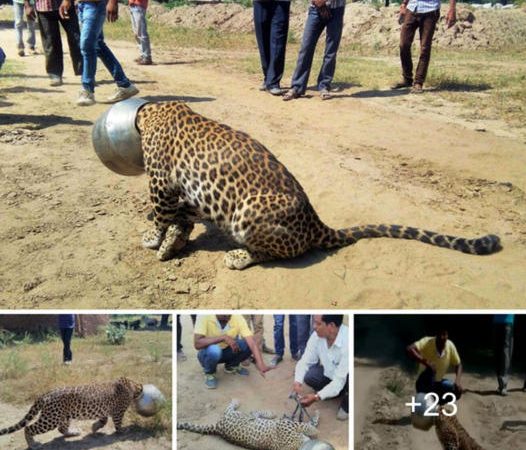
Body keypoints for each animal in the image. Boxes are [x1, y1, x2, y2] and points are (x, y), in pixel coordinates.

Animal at [0, 378, 143, 448]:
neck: (131, 385)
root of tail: (45, 394)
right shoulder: (118, 412)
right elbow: (117, 424)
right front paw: (123, 431)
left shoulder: (105, 410)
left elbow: (103, 420)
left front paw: (94, 427)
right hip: (51, 418)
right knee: (29, 428)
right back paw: (33, 444)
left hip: (63, 415)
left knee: (61, 428)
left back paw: (73, 433)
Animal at [136, 102, 504, 268]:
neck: (152, 111)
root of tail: (316, 222)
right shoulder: (188, 192)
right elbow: (181, 216)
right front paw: (172, 241)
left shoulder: (159, 181)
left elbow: (160, 214)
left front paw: (154, 238)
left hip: (248, 212)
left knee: (276, 252)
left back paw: (238, 256)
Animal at [177, 400, 320, 448]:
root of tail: (218, 428)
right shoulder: (287, 425)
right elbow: (309, 427)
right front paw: (315, 425)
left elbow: (311, 424)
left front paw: (315, 417)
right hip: (235, 415)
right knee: (231, 409)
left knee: (254, 414)